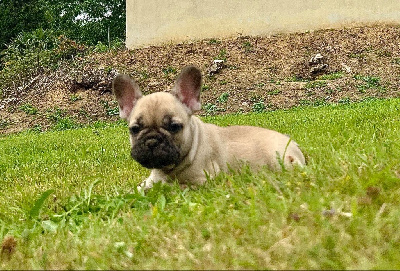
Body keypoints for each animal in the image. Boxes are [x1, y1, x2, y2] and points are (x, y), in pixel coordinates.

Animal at [111, 66, 304, 190]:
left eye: (174, 127)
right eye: (134, 129)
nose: (151, 141)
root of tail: (296, 146)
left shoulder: (202, 181)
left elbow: (176, 187)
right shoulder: (151, 179)